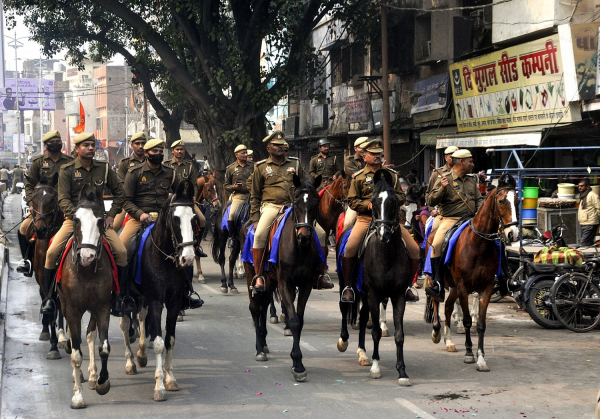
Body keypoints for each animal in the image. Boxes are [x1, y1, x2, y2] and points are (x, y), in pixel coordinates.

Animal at [119, 179, 197, 402]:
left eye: (194, 218)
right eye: (175, 218)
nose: (188, 258)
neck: (164, 259)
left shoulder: (174, 302)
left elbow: (169, 339)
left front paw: (170, 378)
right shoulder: (155, 301)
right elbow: (160, 343)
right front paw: (159, 386)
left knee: (141, 318)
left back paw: (141, 355)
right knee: (125, 324)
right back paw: (130, 362)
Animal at [240, 176, 324, 382]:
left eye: (315, 203)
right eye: (296, 203)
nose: (304, 237)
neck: (299, 249)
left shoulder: (306, 284)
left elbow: (299, 321)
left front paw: (297, 362)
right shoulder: (285, 282)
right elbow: (293, 320)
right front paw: (298, 364)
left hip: (269, 281)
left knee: (263, 307)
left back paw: (263, 342)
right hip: (251, 274)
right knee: (255, 308)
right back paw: (259, 349)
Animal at [428, 175, 516, 374]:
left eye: (518, 201)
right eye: (501, 201)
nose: (512, 234)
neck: (479, 245)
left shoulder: (486, 288)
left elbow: (481, 324)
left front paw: (481, 358)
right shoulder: (463, 287)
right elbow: (468, 320)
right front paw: (469, 353)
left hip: (453, 287)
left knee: (448, 307)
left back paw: (449, 341)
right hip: (435, 279)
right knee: (436, 300)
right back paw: (436, 332)